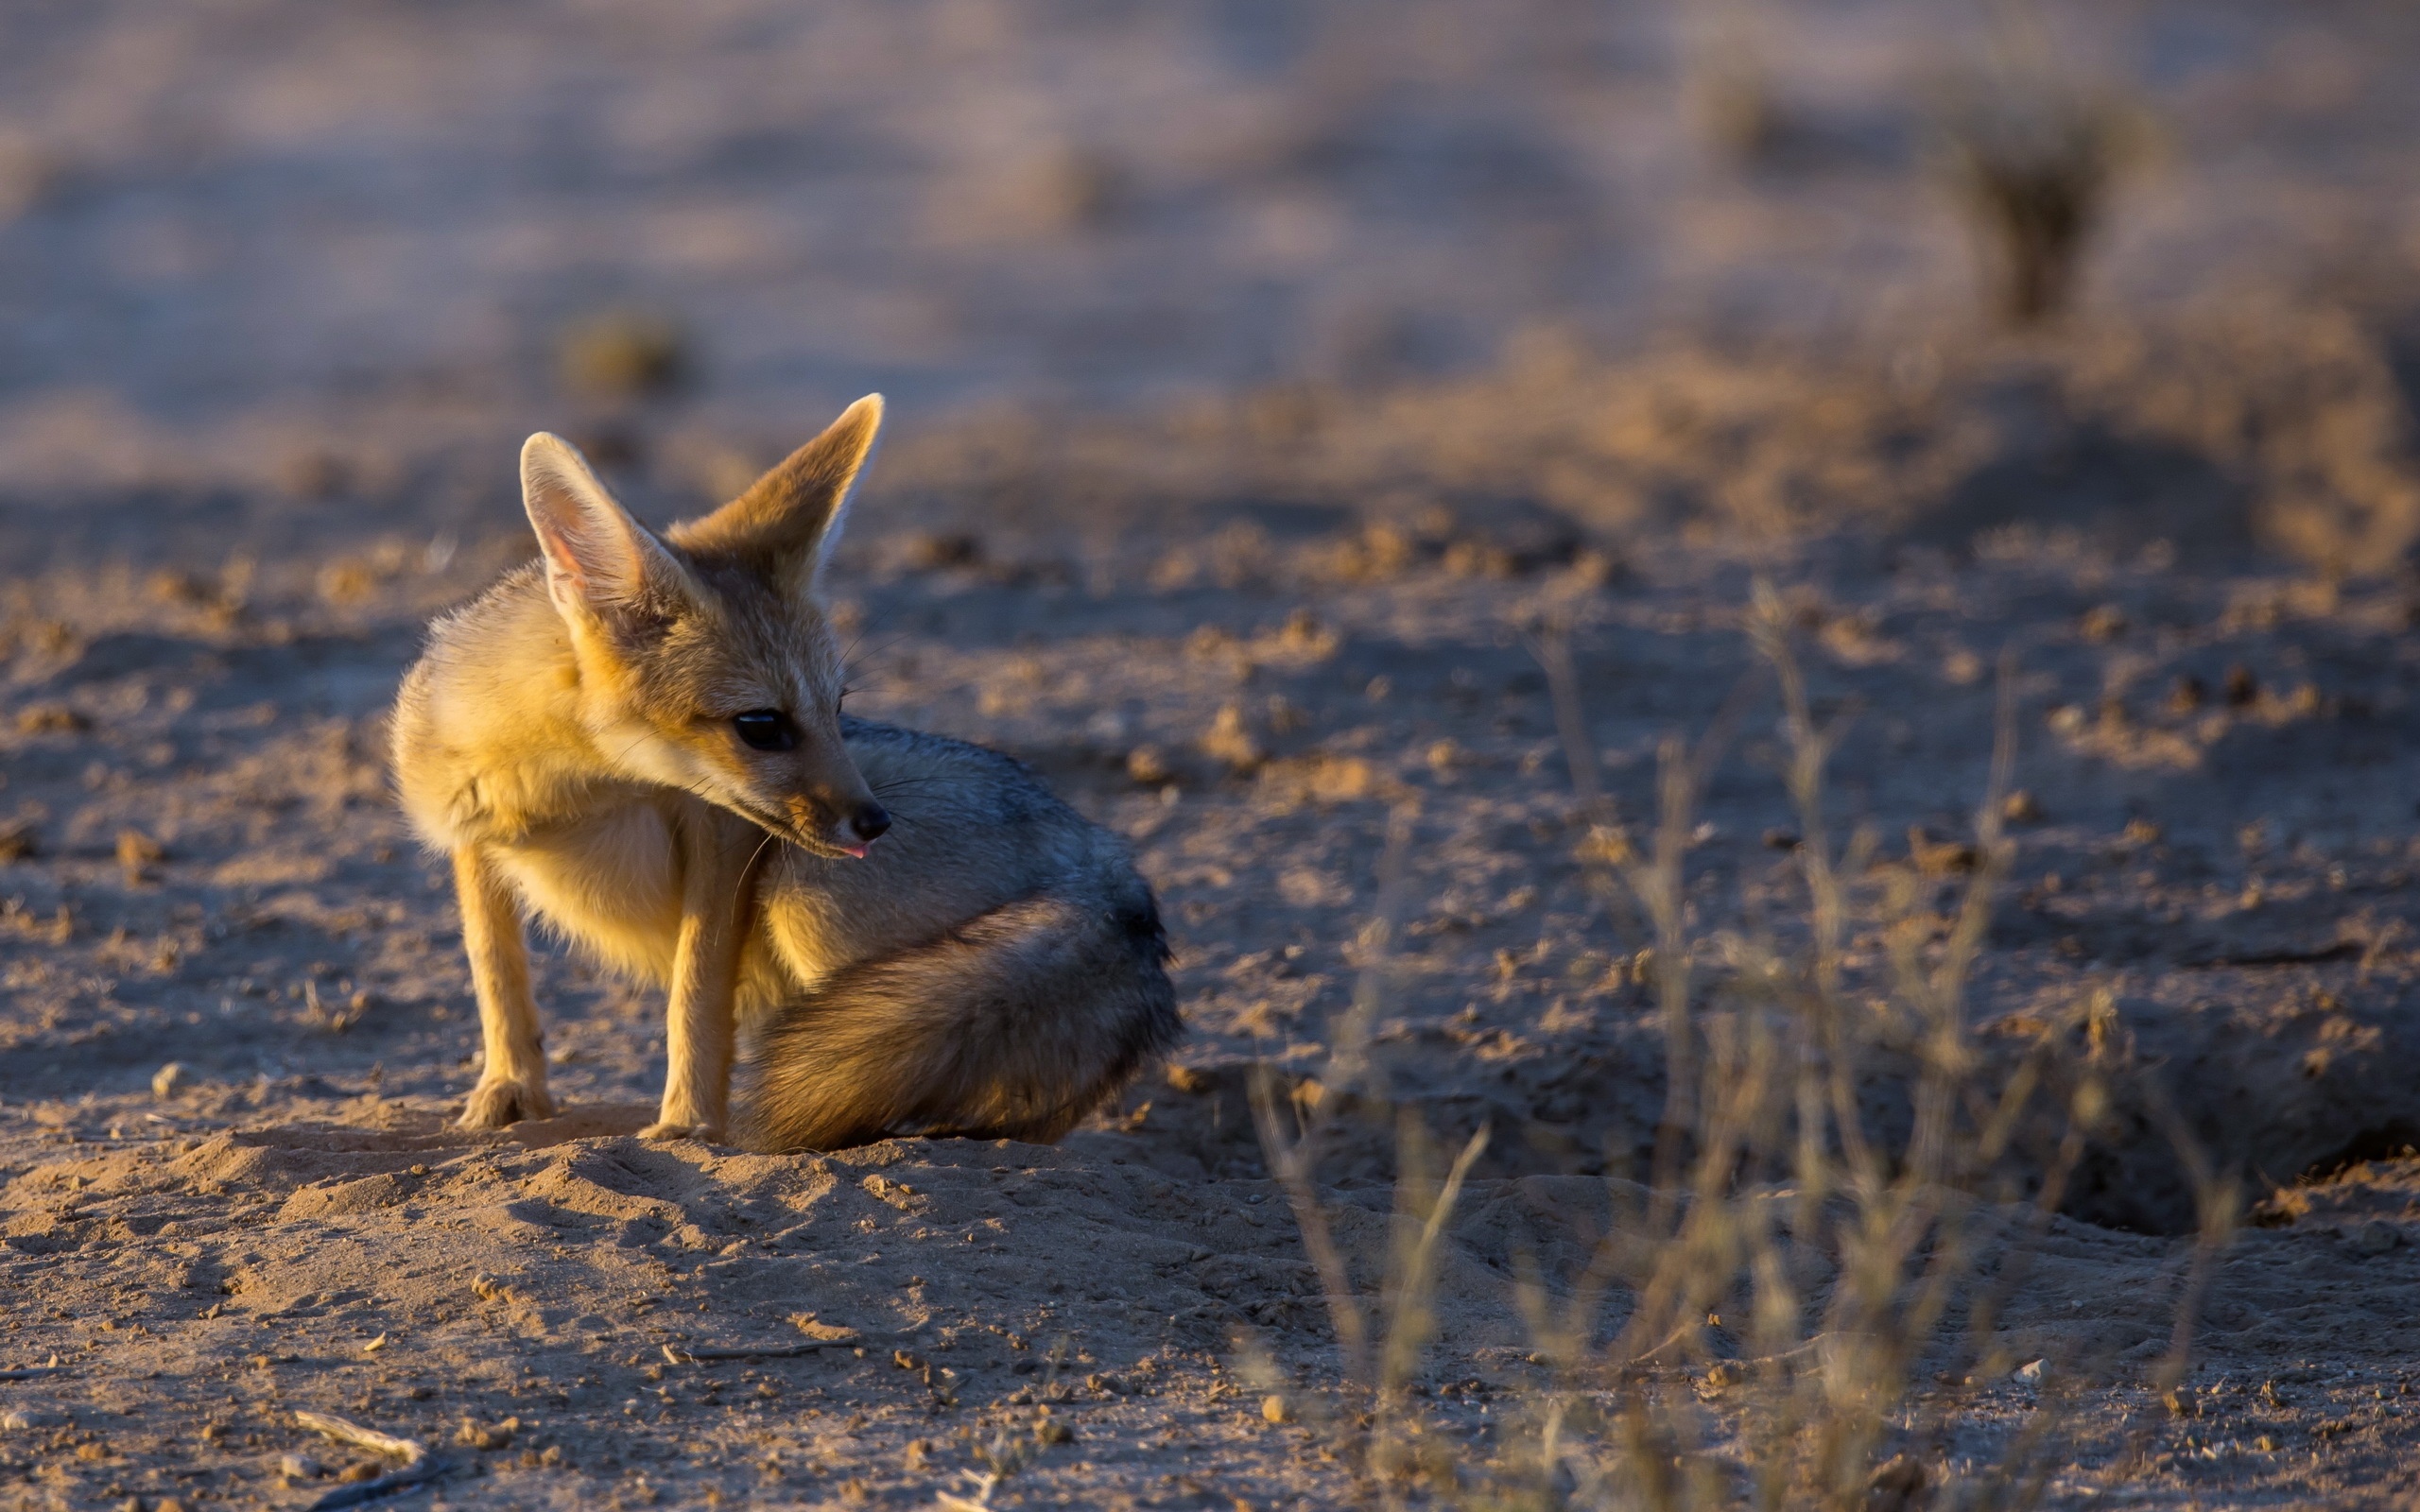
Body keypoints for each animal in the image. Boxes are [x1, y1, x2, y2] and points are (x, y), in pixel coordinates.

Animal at [389, 394, 1181, 1151]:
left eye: (839, 706)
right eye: (761, 725)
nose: (877, 822)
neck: (560, 794)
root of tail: (1113, 869)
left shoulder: (722, 838)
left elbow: (696, 997)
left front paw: (689, 1125)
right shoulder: (471, 838)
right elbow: (498, 974)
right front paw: (508, 1091)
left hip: (806, 897)